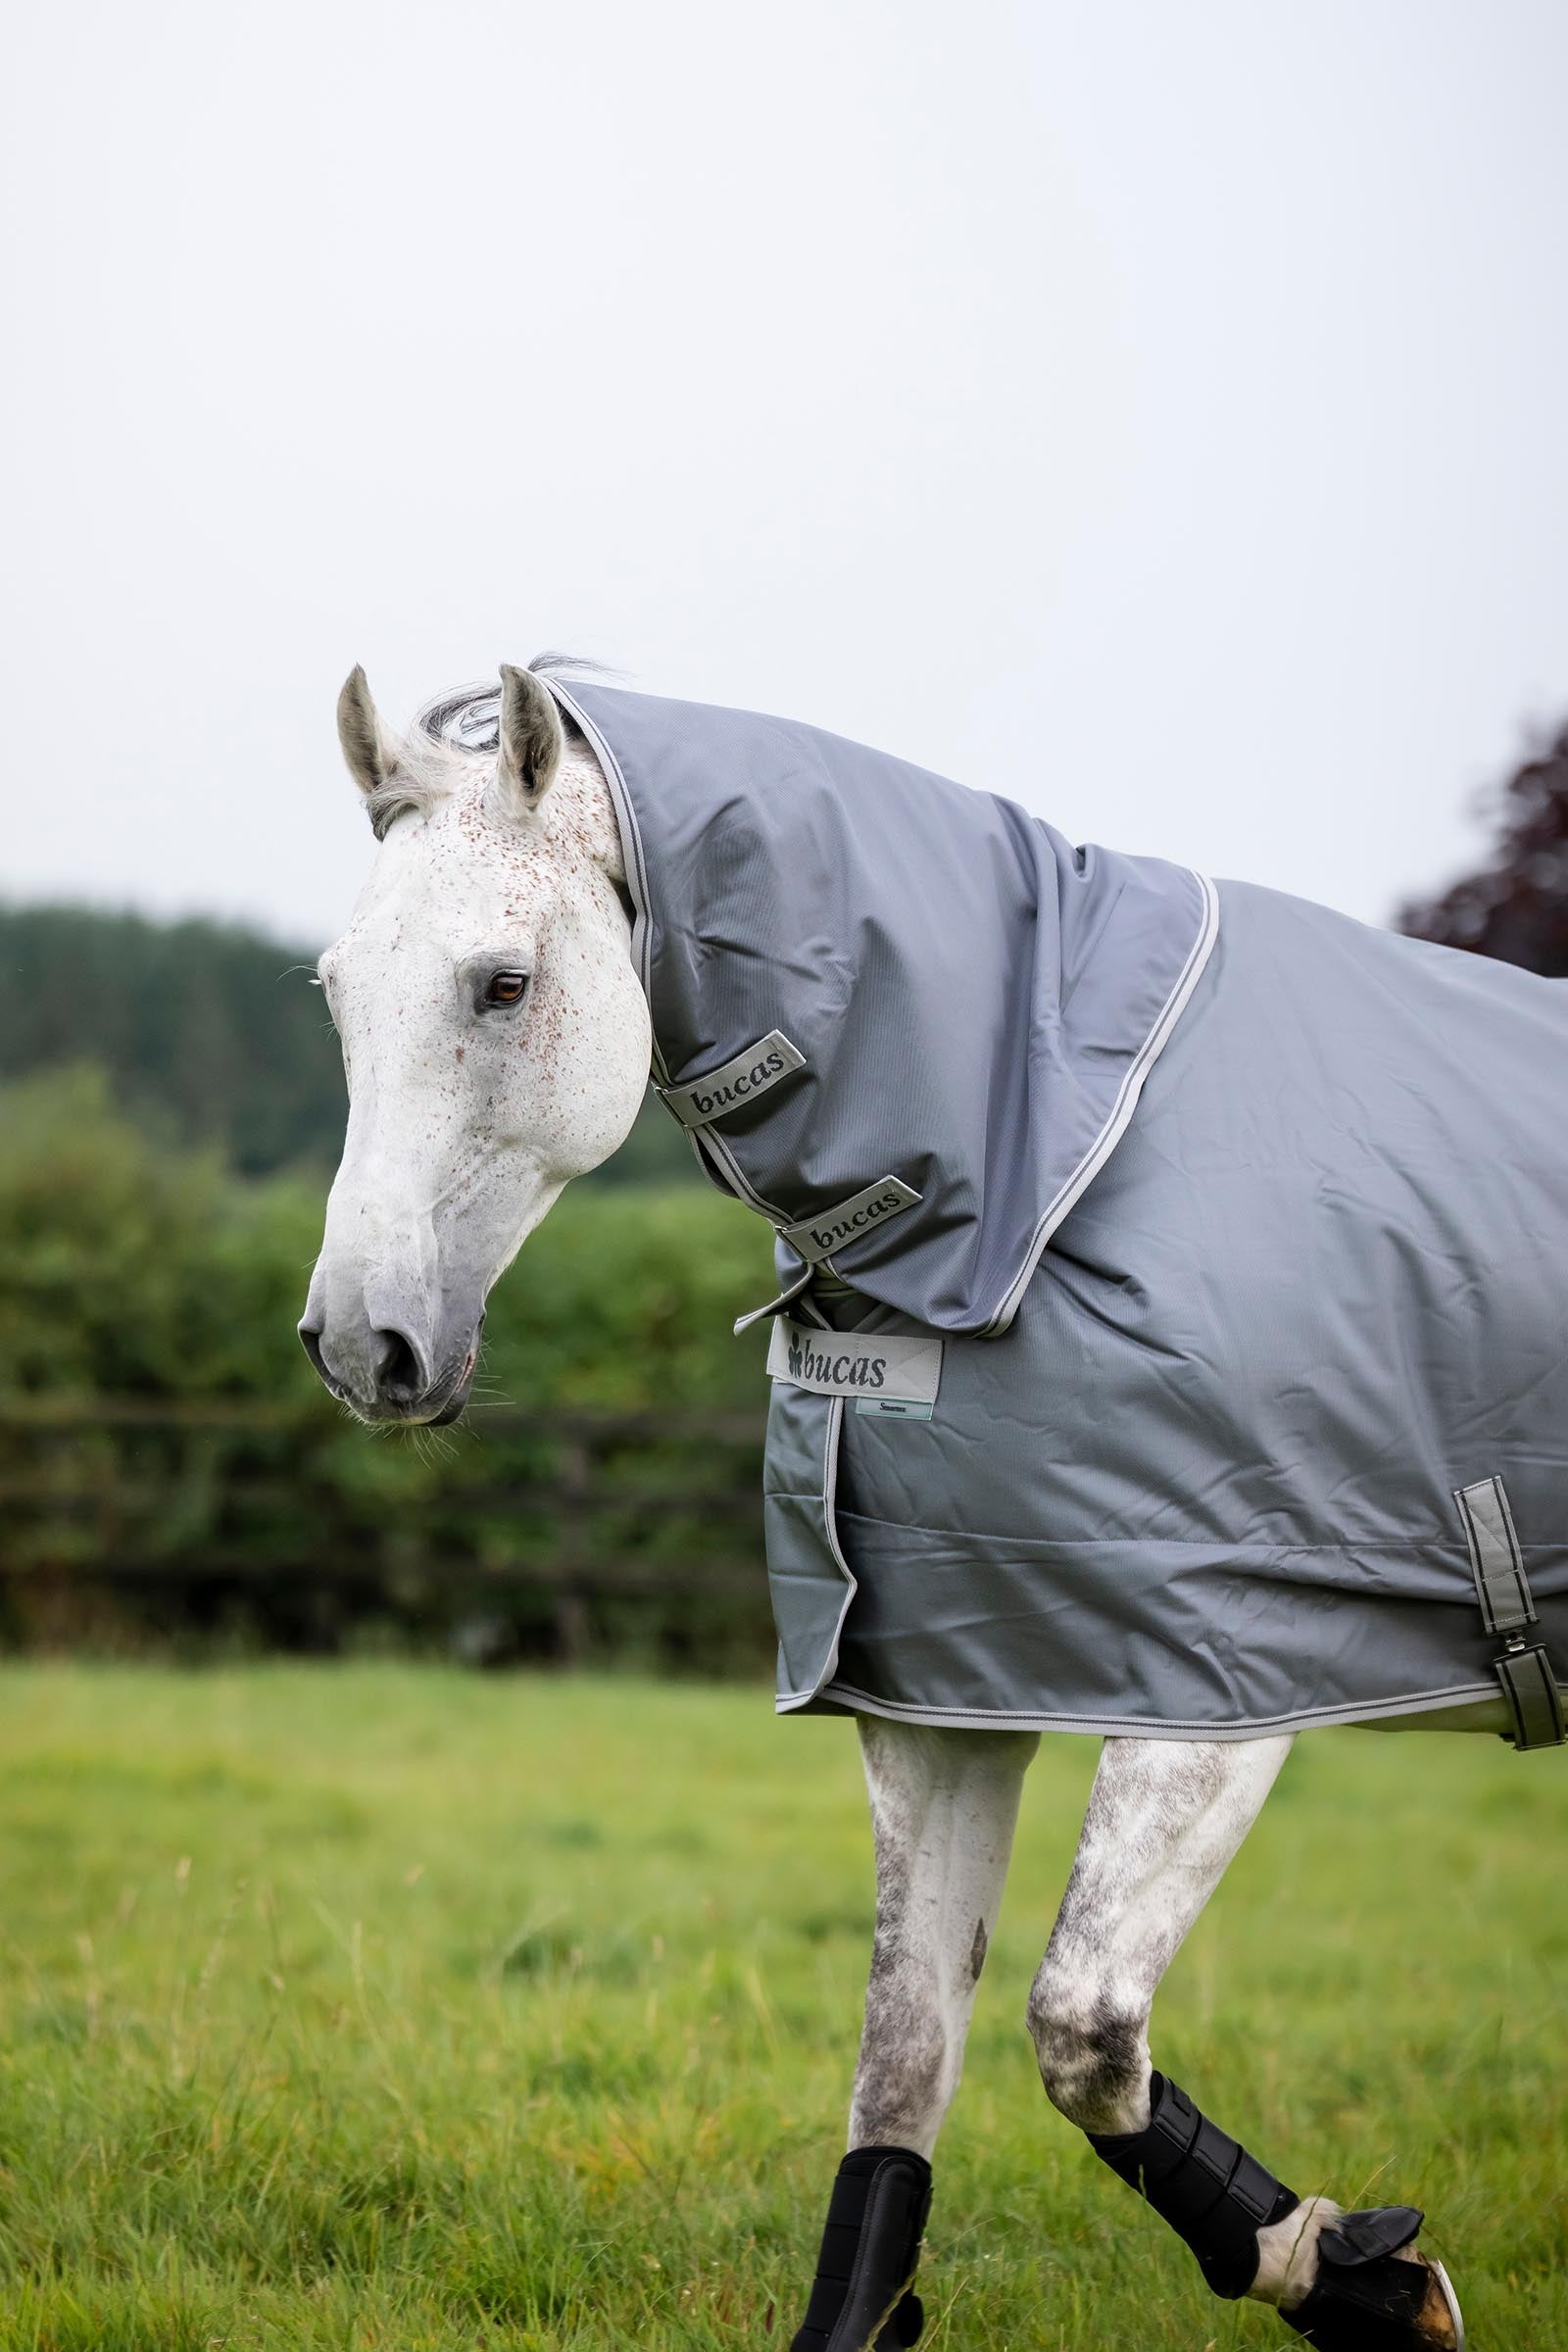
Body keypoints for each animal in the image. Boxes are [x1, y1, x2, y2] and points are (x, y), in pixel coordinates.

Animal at [300, 657, 1565, 2349]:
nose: (359, 1345)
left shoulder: (1218, 1696)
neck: (1047, 1177)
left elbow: (1083, 2033)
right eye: (334, 993)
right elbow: (905, 2059)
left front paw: (1360, 2279)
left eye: (501, 985)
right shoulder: (939, 1696)